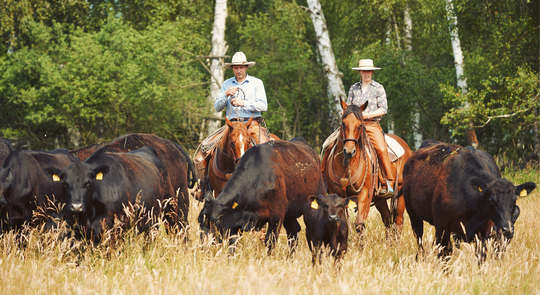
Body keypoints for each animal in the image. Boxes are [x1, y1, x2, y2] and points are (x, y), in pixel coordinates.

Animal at [320, 100, 414, 238]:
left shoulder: (364, 193)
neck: (346, 166)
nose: (349, 151)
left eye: (360, 125)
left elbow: (359, 224)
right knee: (386, 218)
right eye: (343, 123)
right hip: (379, 199)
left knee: (398, 222)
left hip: (400, 193)